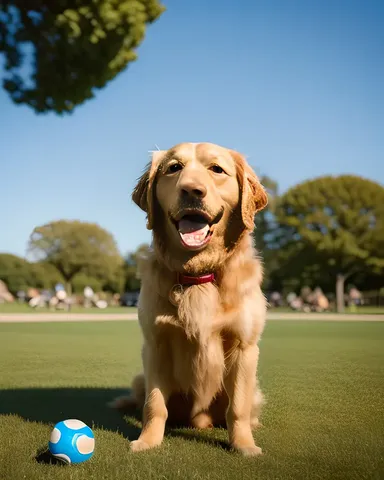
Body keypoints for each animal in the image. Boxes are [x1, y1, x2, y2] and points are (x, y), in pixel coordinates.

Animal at [111, 141, 268, 456]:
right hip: (140, 377)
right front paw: (148, 441)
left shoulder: (244, 346)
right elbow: (154, 405)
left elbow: (238, 408)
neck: (199, 274)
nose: (192, 191)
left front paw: (244, 445)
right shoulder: (156, 343)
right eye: (174, 168)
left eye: (216, 169)